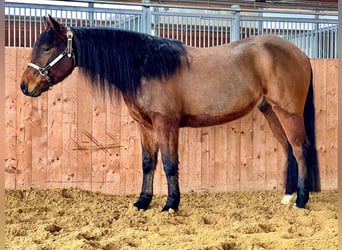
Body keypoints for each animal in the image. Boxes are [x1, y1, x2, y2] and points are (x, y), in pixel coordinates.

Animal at [20, 15, 320, 211]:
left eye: (47, 47)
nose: (25, 86)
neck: (146, 66)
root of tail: (301, 55)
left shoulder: (166, 123)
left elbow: (169, 163)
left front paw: (171, 205)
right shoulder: (144, 125)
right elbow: (148, 163)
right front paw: (142, 202)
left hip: (288, 112)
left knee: (300, 148)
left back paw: (301, 201)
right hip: (271, 111)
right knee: (288, 148)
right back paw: (288, 197)